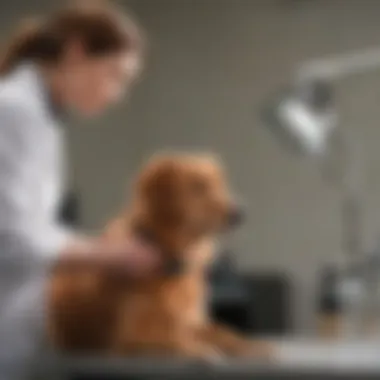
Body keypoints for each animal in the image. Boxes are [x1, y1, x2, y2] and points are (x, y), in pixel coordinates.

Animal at [48, 153, 274, 360]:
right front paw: (203, 351)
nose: (241, 213)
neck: (169, 254)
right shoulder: (130, 336)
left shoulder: (190, 322)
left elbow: (222, 332)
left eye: (221, 185)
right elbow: (176, 339)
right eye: (197, 187)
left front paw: (251, 346)